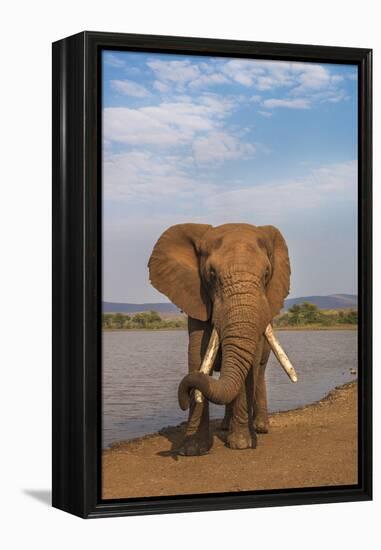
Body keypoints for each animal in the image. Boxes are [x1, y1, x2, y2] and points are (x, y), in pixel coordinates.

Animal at [147, 223, 292, 458]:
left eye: (266, 274)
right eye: (212, 274)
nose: (184, 399)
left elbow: (249, 366)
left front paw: (241, 444)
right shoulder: (198, 301)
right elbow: (197, 357)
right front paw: (193, 449)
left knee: (259, 372)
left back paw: (260, 428)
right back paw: (225, 426)